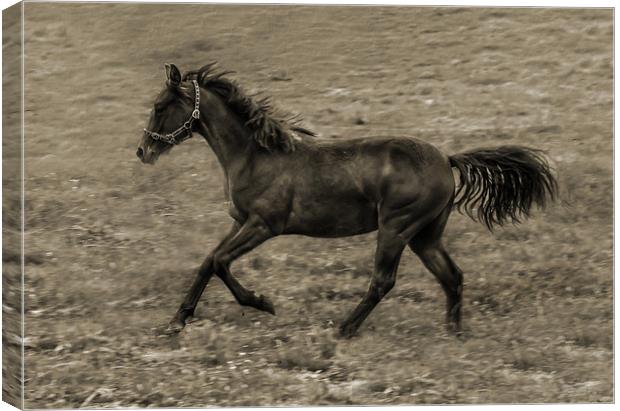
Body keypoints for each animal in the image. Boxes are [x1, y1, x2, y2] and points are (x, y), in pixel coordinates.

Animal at [138, 63, 560, 338]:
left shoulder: (263, 225)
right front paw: (177, 320)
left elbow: (220, 262)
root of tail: (447, 158)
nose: (143, 152)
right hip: (426, 235)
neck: (256, 155)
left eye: (159, 106)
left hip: (396, 228)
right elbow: (208, 261)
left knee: (383, 281)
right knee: (452, 276)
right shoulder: (239, 221)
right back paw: (453, 332)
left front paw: (263, 302)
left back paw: (344, 328)